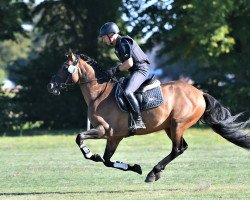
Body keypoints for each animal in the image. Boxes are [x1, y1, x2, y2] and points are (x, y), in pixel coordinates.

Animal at [47, 52, 250, 183]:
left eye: (65, 67)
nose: (51, 86)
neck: (99, 94)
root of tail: (199, 93)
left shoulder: (104, 130)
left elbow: (80, 137)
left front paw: (90, 153)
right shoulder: (114, 137)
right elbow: (106, 160)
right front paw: (134, 167)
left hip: (178, 125)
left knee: (177, 149)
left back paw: (154, 173)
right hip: (170, 127)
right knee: (181, 148)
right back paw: (155, 172)